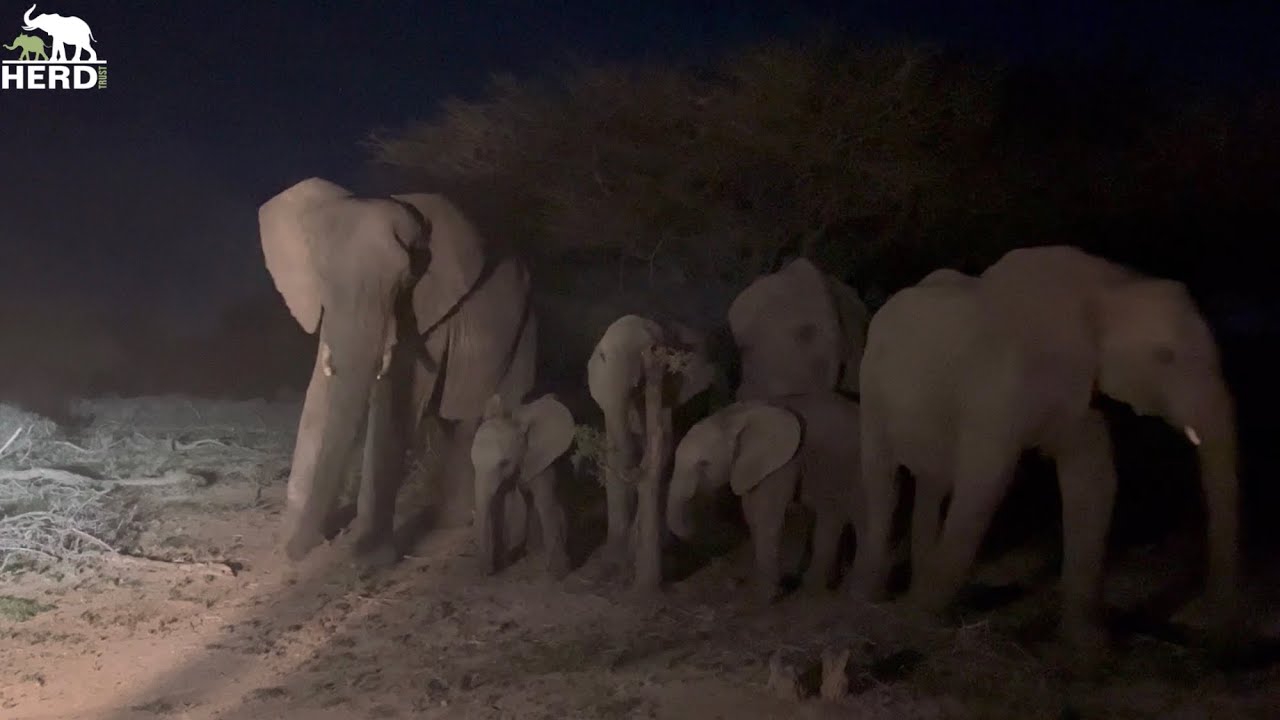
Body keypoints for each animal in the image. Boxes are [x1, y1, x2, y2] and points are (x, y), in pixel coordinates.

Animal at [259, 177, 536, 565]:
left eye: (406, 280)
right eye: (321, 274)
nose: (303, 547)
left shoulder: (431, 313)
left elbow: (398, 405)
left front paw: (367, 557)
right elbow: (320, 393)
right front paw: (292, 540)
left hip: (525, 332)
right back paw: (450, 520)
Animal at [471, 392, 575, 578]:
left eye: (504, 463)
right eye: (472, 461)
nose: (486, 573)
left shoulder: (540, 457)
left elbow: (544, 501)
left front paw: (558, 573)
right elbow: (500, 502)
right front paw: (501, 564)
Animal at [666, 392, 863, 603]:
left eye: (704, 464)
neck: (733, 416)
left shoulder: (784, 462)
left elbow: (768, 517)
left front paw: (765, 598)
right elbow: (752, 513)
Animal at [849, 245, 1239, 654]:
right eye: (1165, 356)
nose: (1213, 637)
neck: (1110, 284)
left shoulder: (1083, 392)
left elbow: (1093, 482)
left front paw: (1089, 649)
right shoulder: (999, 382)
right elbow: (986, 481)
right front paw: (917, 621)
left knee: (932, 482)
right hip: (872, 384)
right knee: (884, 480)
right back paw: (869, 599)